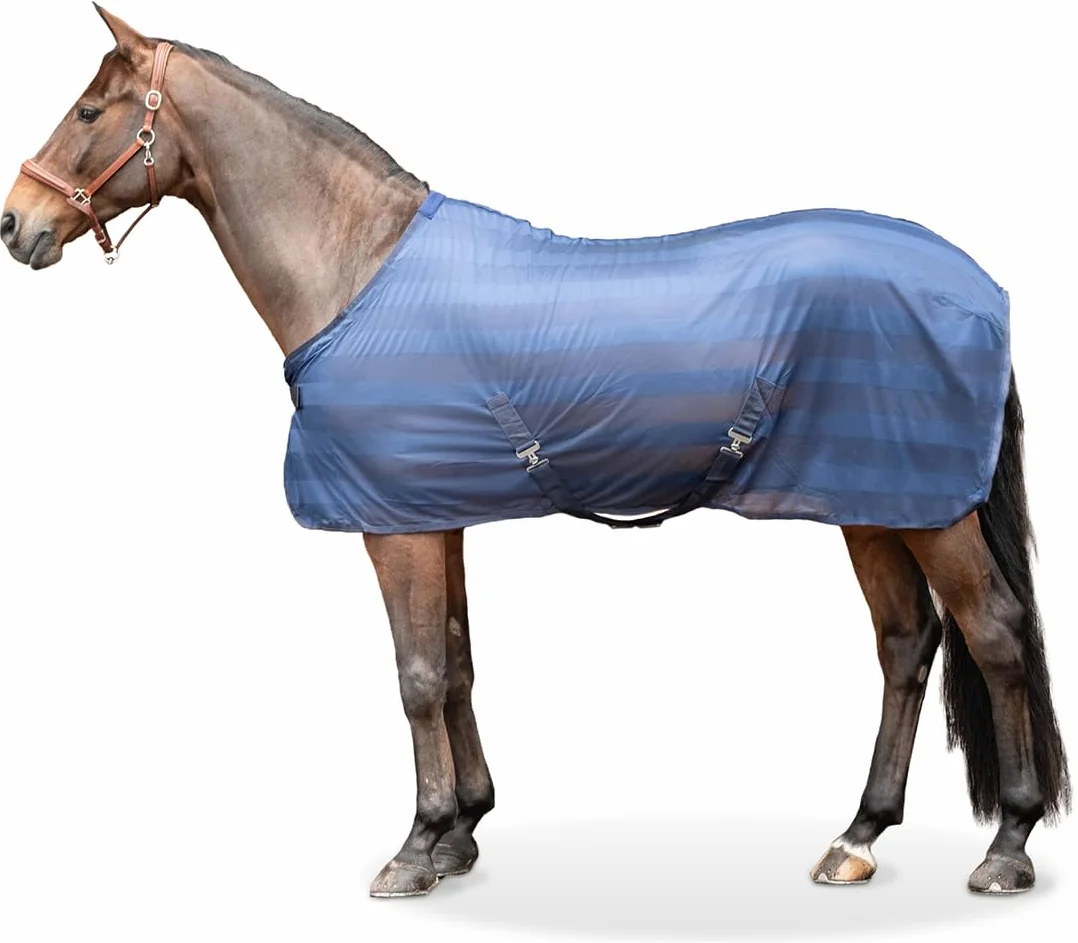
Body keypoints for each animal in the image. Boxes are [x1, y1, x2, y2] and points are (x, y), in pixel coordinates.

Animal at [2, 5, 1068, 899]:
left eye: (89, 109)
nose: (17, 224)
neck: (358, 268)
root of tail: (979, 288)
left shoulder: (393, 528)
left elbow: (416, 674)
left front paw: (415, 847)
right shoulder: (432, 515)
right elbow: (457, 661)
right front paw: (462, 831)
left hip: (930, 510)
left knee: (994, 632)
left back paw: (1007, 846)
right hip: (872, 501)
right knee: (907, 643)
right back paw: (858, 836)